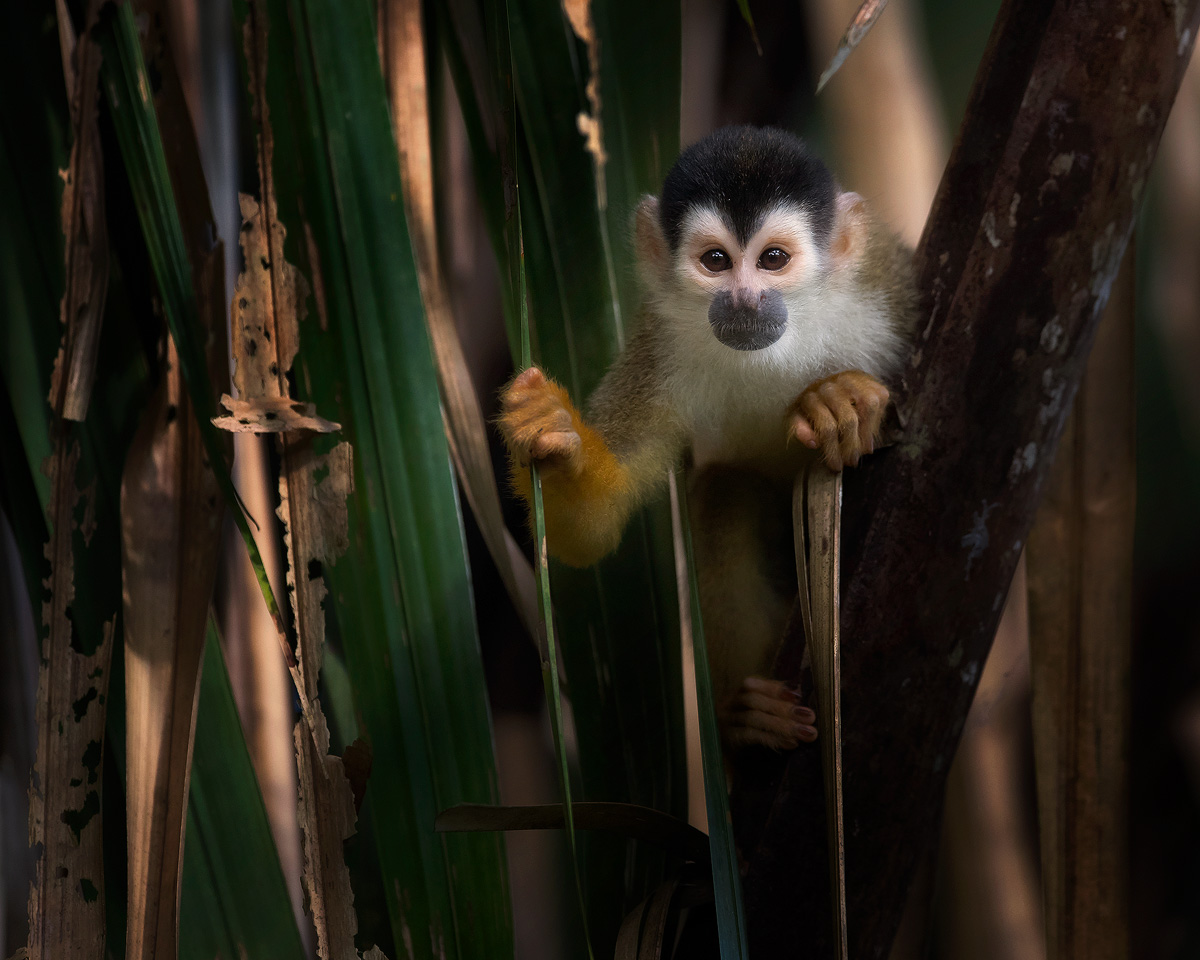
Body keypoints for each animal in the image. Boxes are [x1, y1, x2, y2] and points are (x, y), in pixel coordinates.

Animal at [498, 126, 918, 754]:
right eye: (716, 261)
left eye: (773, 260)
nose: (744, 299)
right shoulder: (659, 345)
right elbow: (592, 527)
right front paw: (553, 436)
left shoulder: (883, 293)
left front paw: (840, 401)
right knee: (725, 491)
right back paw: (745, 717)